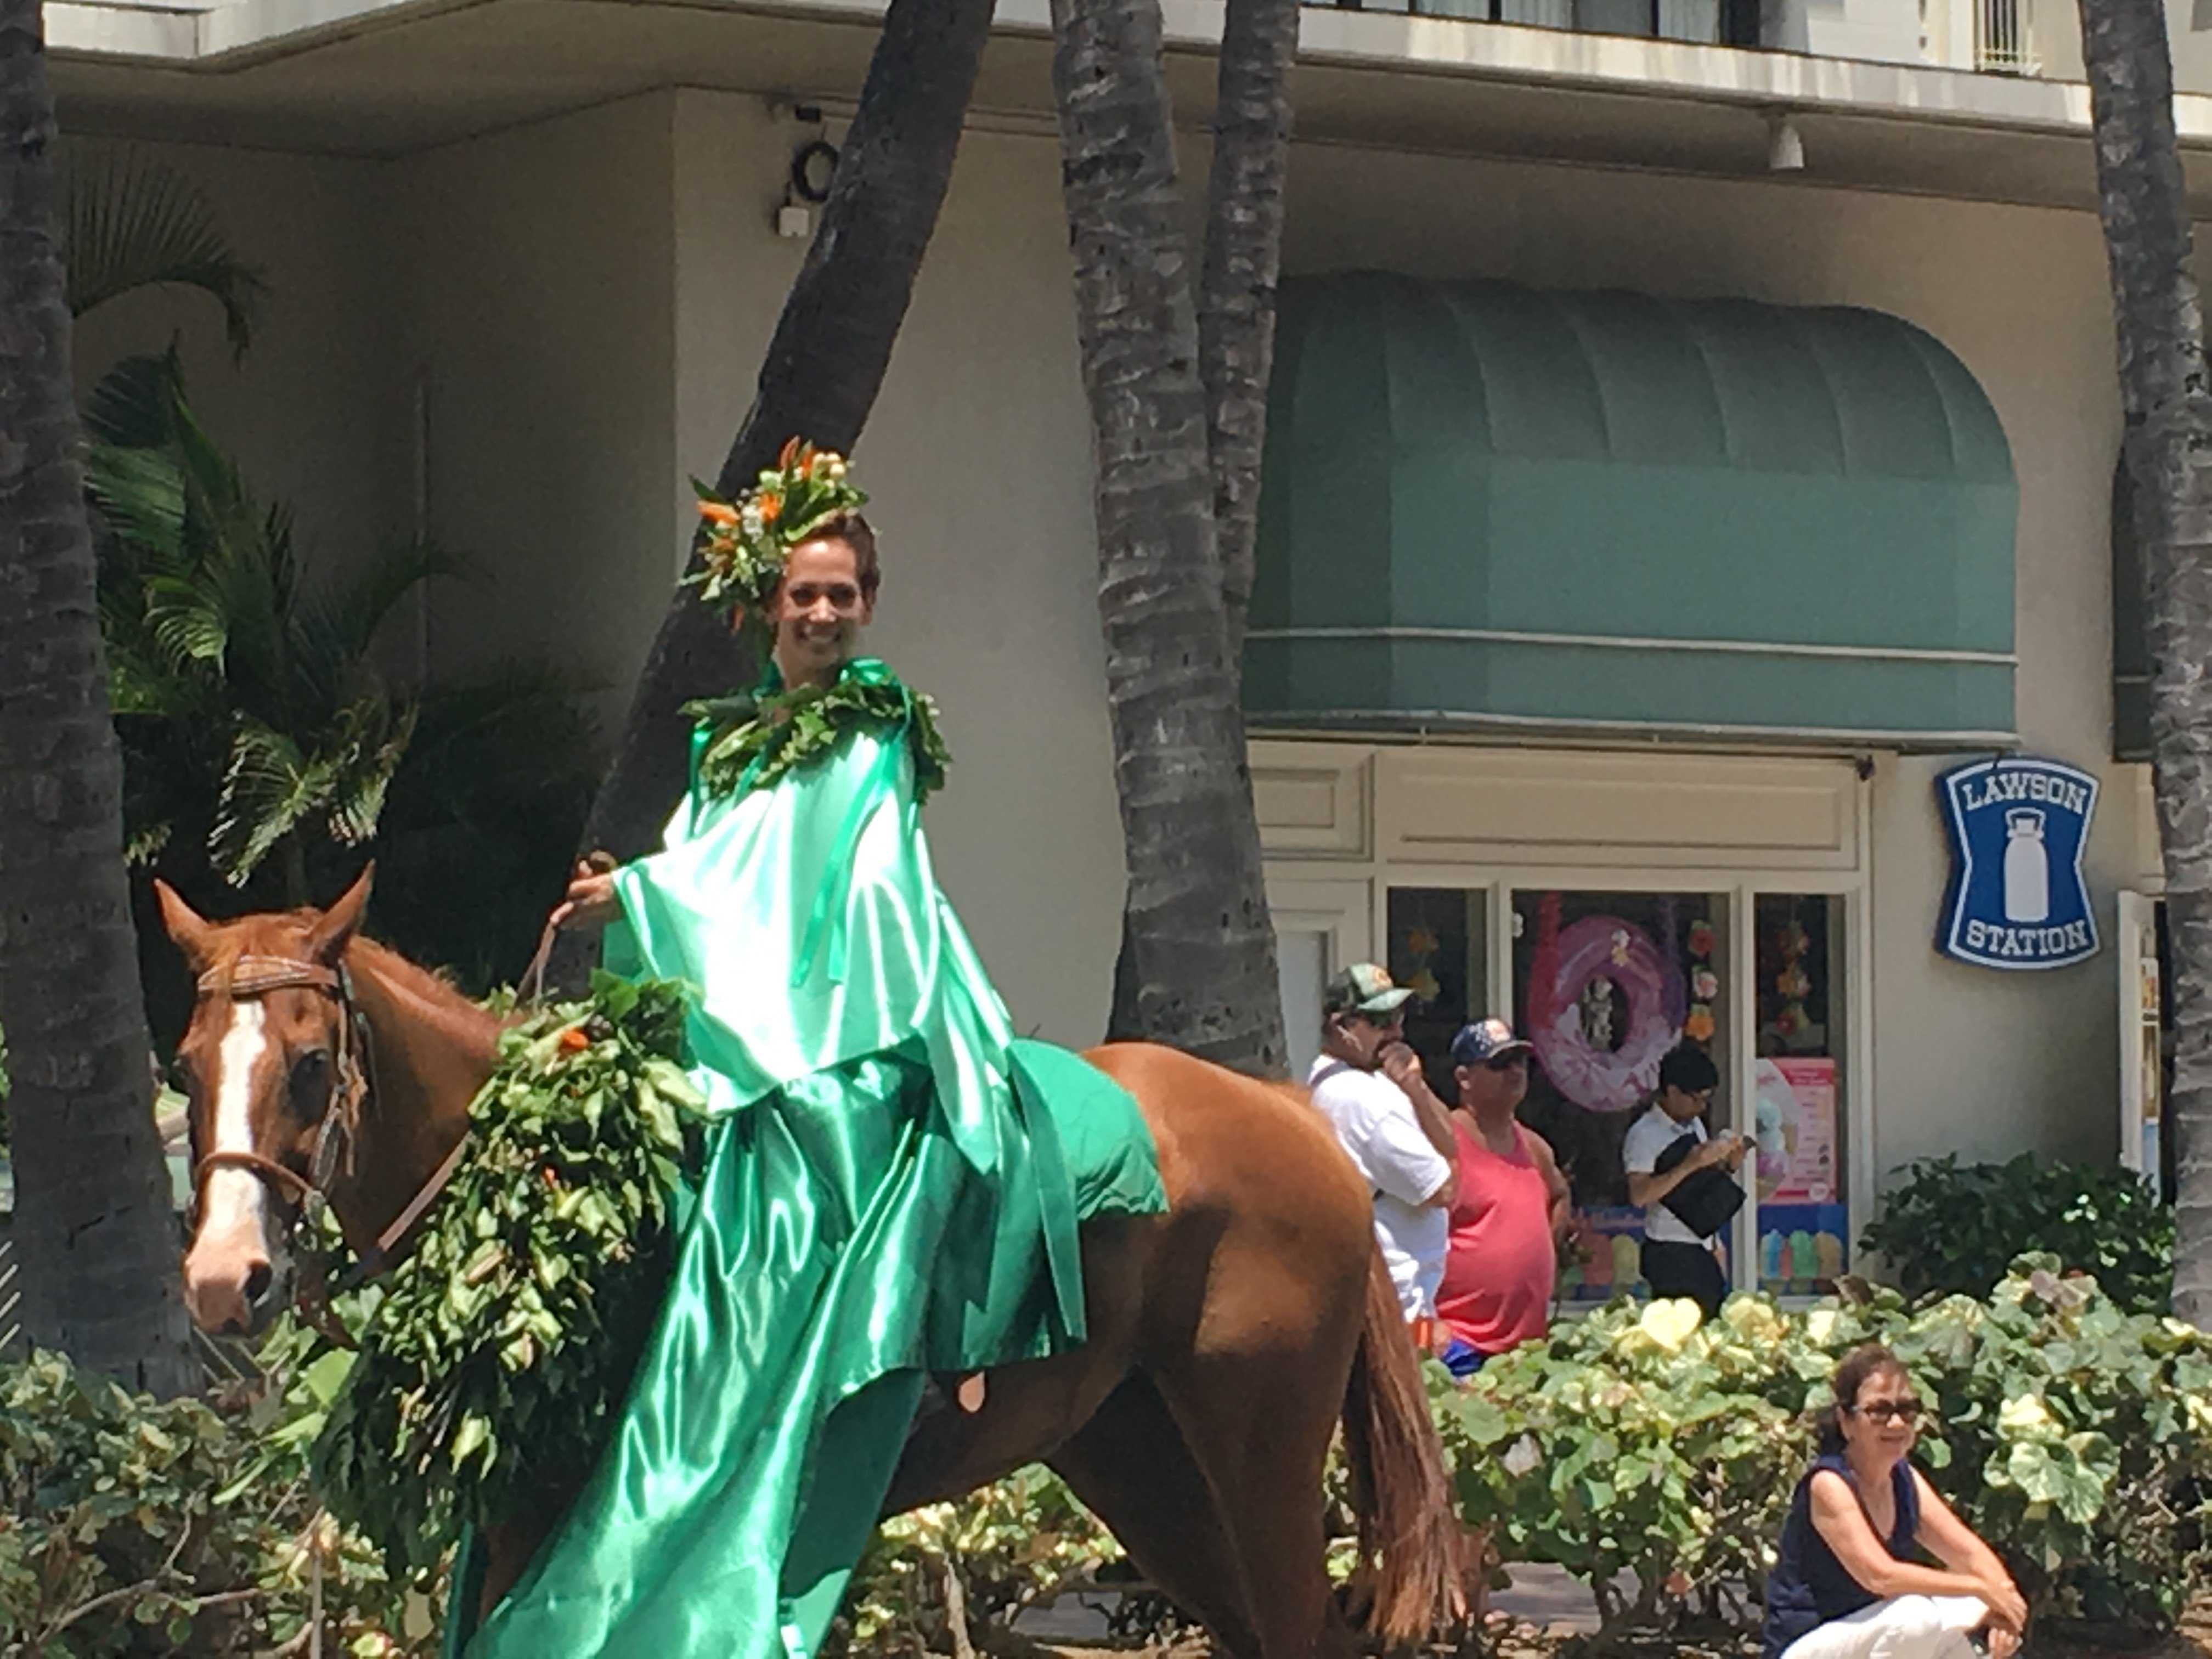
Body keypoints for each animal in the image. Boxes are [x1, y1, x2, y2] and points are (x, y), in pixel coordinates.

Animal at [160, 871, 1469, 1659]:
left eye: (313, 1065)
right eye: (185, 1066)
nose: (227, 1277)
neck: (546, 1171)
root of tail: (1297, 1117)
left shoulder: (563, 1524)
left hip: (1257, 1450)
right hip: (1139, 1459)